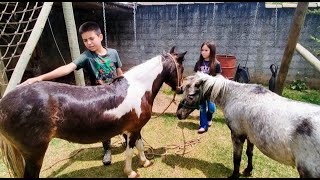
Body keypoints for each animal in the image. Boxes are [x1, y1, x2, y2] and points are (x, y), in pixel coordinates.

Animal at [0, 46, 186, 177]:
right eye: (181, 68)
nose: (181, 89)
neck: (138, 87)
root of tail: (4, 104)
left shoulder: (135, 129)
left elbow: (140, 146)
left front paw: (145, 162)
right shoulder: (132, 130)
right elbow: (129, 152)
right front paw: (131, 172)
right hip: (34, 154)